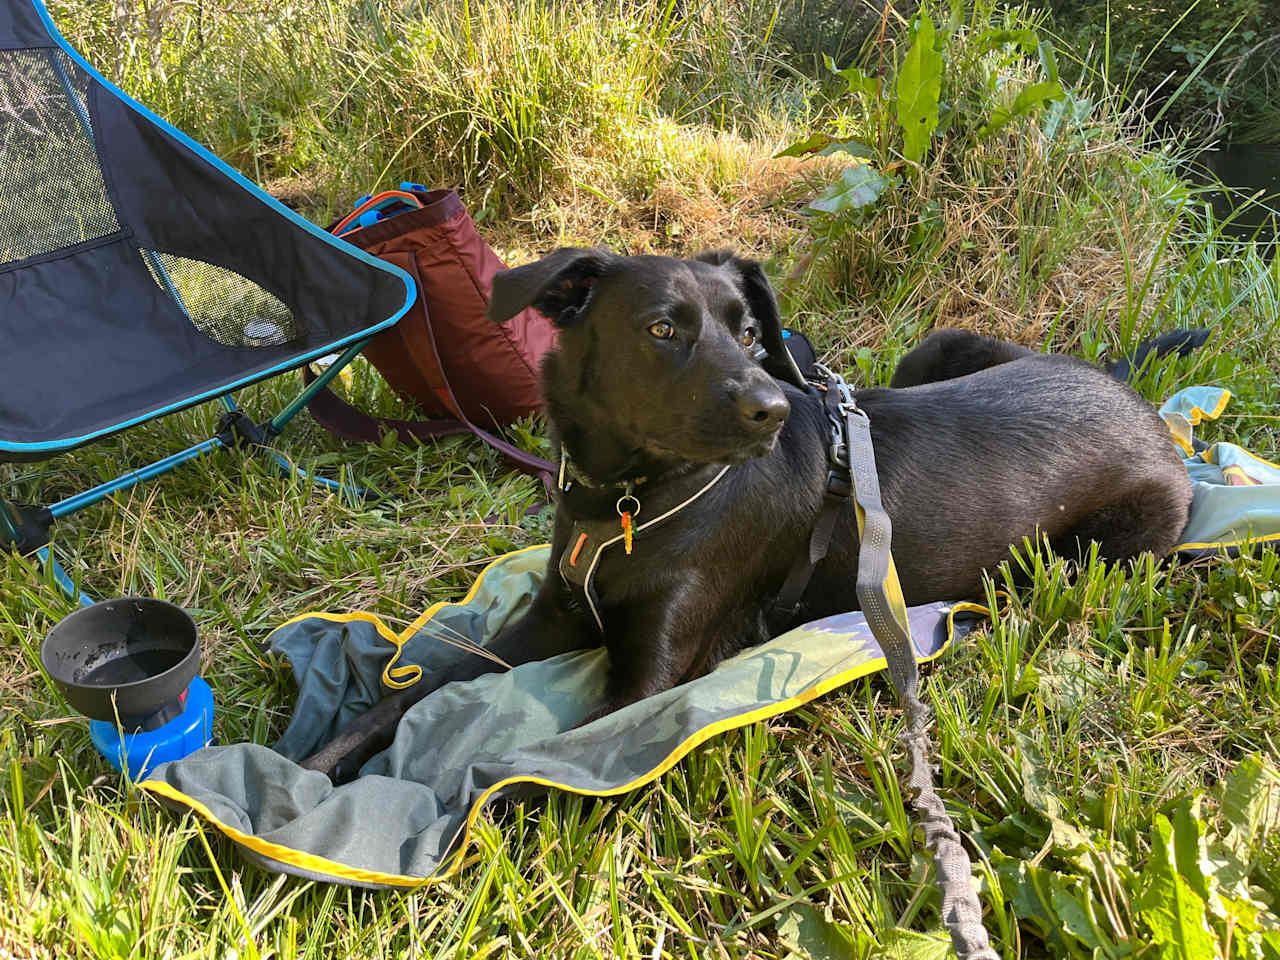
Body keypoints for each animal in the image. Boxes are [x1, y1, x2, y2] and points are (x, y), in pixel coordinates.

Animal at [302, 248, 1198, 783]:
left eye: (750, 333)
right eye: (663, 328)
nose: (772, 408)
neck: (629, 504)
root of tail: (1132, 397)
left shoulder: (651, 675)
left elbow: (525, 759)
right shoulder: (548, 618)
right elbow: (411, 695)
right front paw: (317, 766)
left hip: (1092, 555)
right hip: (942, 346)